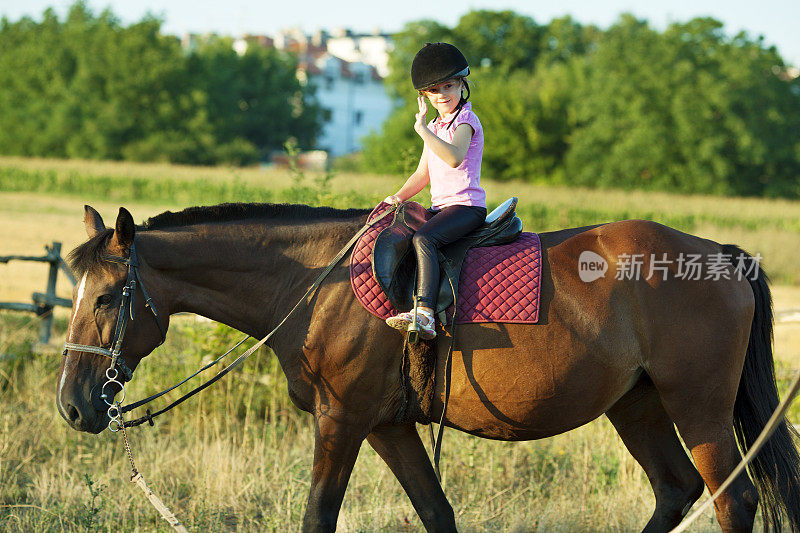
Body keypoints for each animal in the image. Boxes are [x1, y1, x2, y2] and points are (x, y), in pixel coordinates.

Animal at [57, 202, 800, 528]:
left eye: (105, 296)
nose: (73, 403)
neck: (316, 283)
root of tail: (724, 256)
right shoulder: (388, 426)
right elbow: (437, 512)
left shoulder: (342, 419)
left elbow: (318, 514)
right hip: (637, 404)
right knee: (675, 489)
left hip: (697, 406)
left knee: (732, 498)